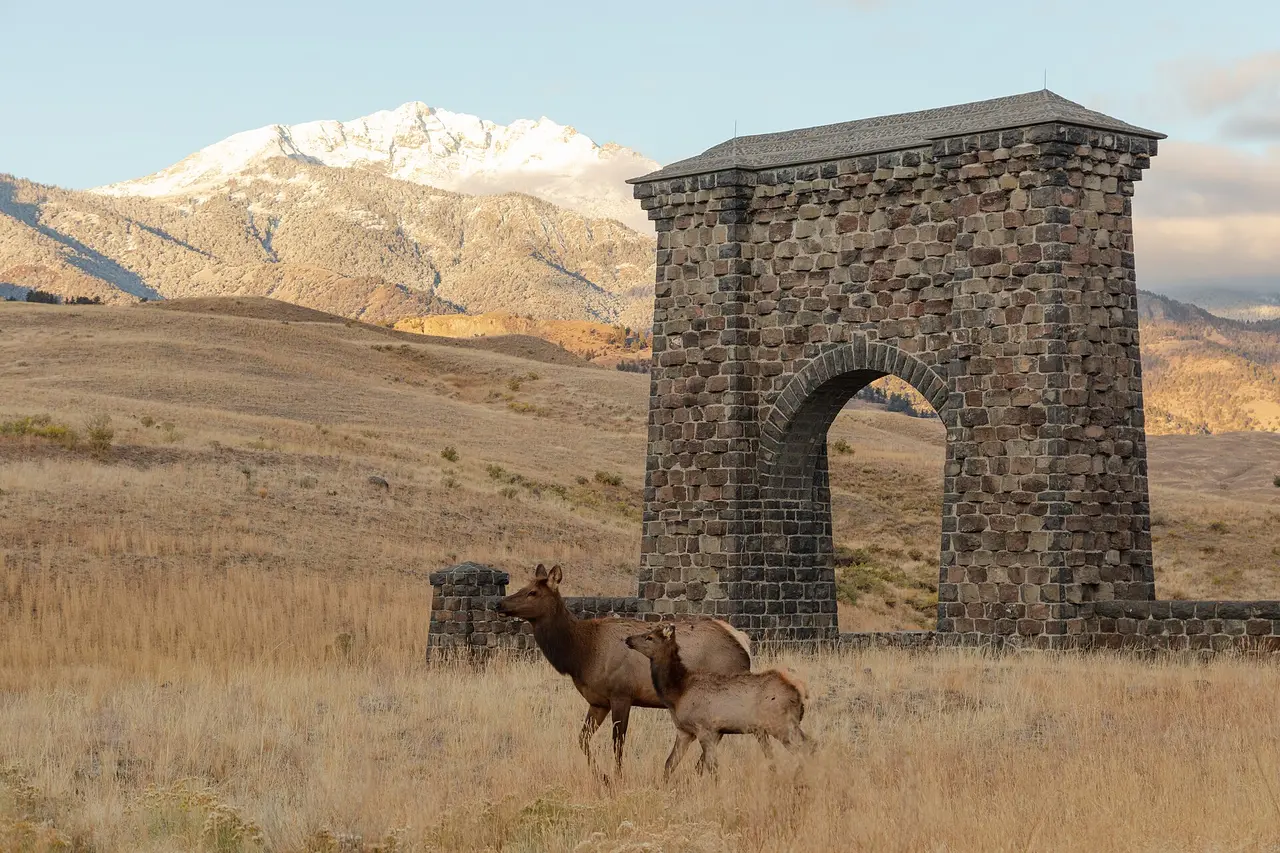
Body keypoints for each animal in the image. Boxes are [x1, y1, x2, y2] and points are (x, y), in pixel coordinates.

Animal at [496, 564, 752, 779]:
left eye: (532, 592)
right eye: (522, 587)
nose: (500, 604)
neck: (581, 655)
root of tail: (743, 643)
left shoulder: (621, 694)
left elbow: (618, 743)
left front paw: (617, 777)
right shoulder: (598, 701)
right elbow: (582, 740)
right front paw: (603, 776)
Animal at [625, 622, 813, 780]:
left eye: (649, 637)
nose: (628, 639)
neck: (677, 693)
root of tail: (800, 691)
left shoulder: (705, 728)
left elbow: (712, 768)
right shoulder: (685, 731)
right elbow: (670, 763)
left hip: (781, 724)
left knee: (807, 747)